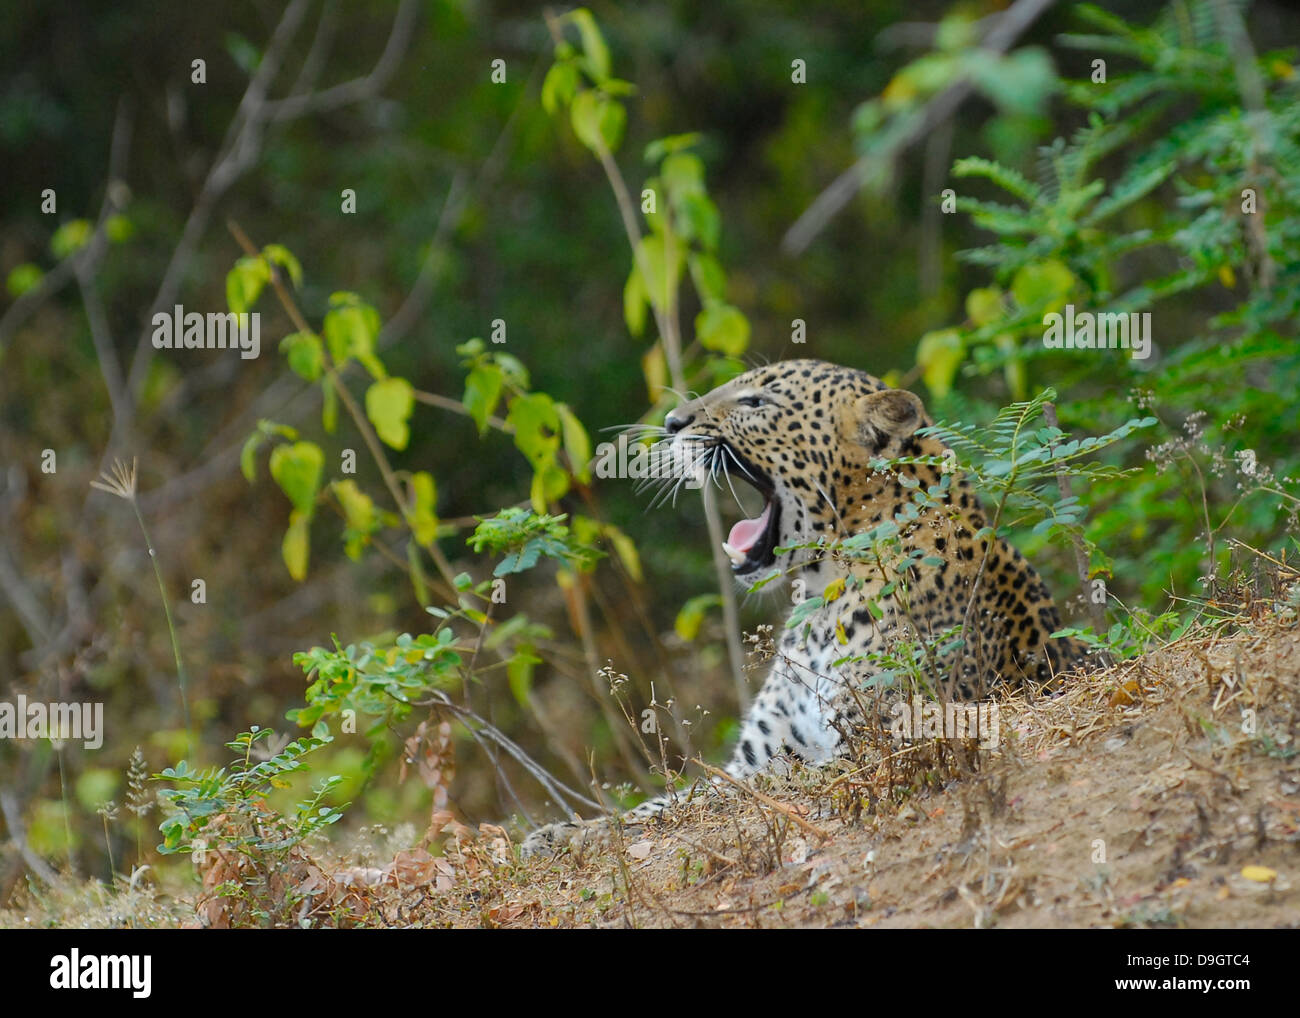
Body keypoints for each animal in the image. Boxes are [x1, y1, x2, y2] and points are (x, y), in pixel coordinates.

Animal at [520, 361, 1086, 858]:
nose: (672, 423)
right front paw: (563, 832)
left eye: (756, 403)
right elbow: (674, 798)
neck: (821, 600)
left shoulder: (868, 746)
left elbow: (718, 798)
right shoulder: (761, 753)